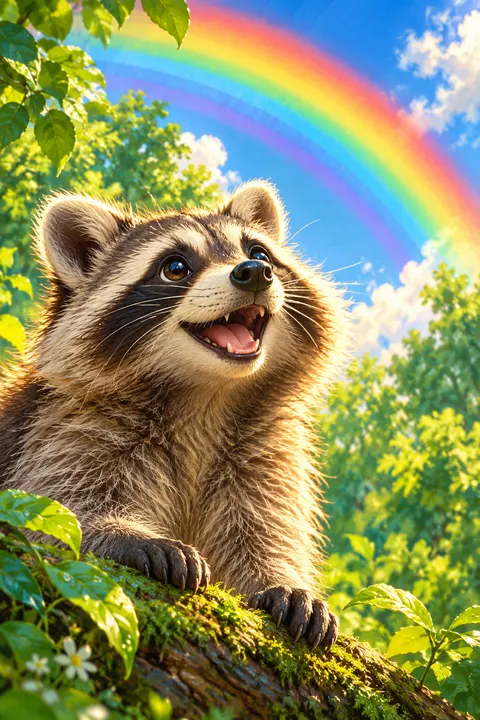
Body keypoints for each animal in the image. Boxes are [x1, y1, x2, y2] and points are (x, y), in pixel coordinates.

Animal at [0, 181, 347, 649]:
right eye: (175, 267)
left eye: (258, 251)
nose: (254, 272)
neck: (208, 393)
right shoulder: (63, 424)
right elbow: (60, 504)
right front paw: (122, 532)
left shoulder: (262, 453)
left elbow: (261, 526)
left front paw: (279, 577)